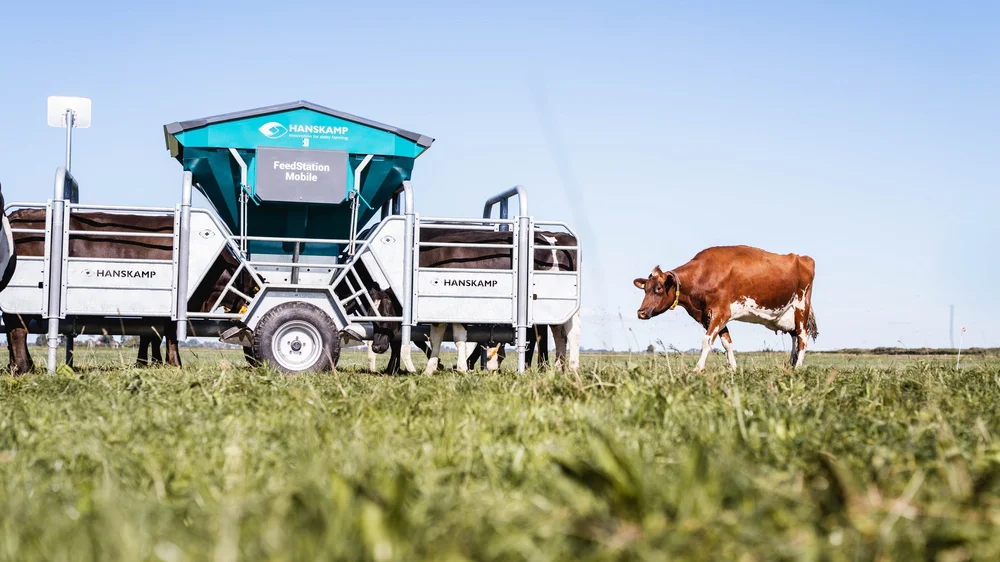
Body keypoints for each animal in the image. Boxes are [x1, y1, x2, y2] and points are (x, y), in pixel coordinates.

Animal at [3, 209, 254, 374]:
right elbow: (167, 333)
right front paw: (172, 363)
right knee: (18, 328)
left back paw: (15, 365)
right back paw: (24, 367)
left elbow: (151, 334)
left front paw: (149, 362)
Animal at [633, 245, 817, 371]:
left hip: (801, 306)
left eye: (658, 289)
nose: (641, 312)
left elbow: (707, 341)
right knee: (794, 336)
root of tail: (803, 258)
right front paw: (733, 368)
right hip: (786, 315)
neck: (703, 274)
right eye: (645, 289)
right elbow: (726, 342)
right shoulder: (708, 315)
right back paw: (791, 363)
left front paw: (698, 368)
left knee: (802, 337)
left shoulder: (721, 312)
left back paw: (797, 367)